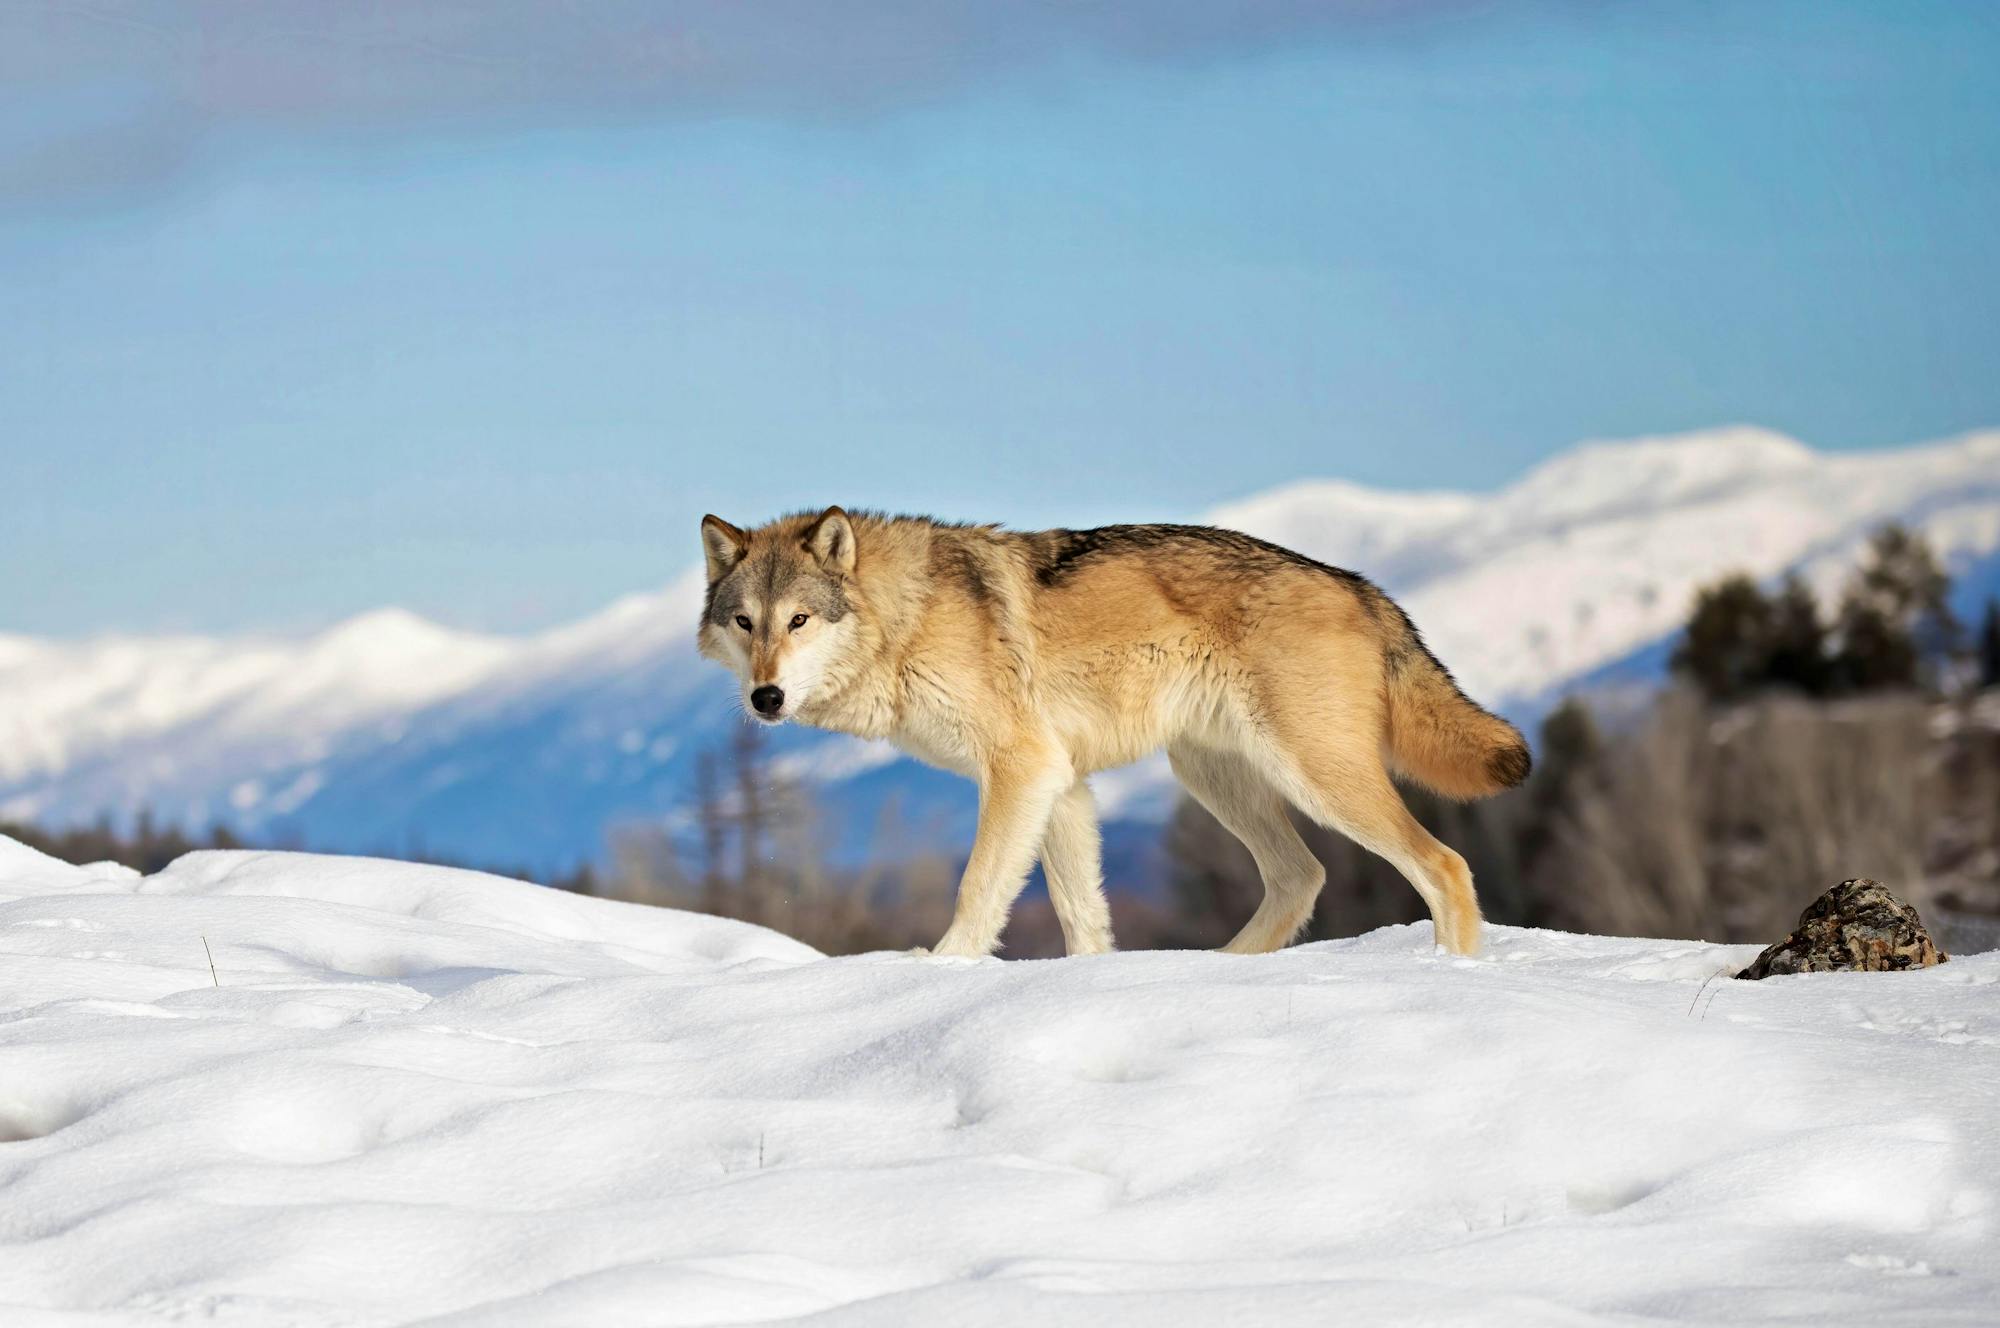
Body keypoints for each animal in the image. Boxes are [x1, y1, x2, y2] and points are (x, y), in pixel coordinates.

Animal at [696, 506, 1520, 956]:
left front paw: (938, 969)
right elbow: (1080, 914)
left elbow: (977, 888)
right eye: (745, 623)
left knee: (1445, 865)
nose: (765, 697)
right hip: (1216, 777)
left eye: (799, 621)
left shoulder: (1023, 770)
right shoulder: (1062, 786)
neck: (906, 616)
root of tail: (1359, 584)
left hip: (1314, 776)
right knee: (1302, 877)